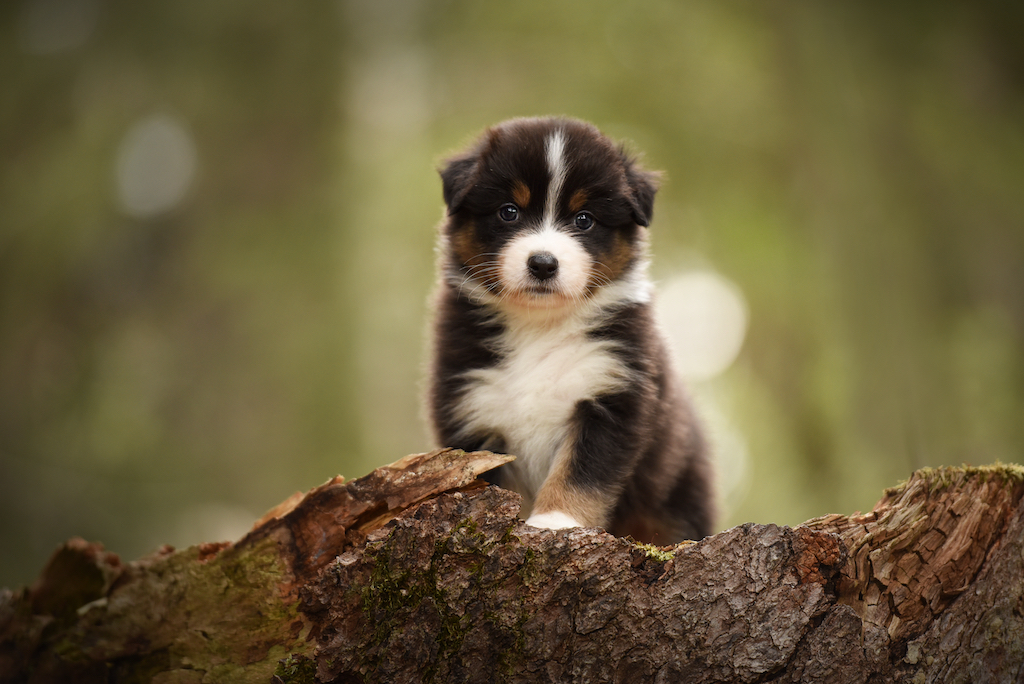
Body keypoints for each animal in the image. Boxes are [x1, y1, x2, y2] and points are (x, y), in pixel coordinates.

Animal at [428, 118, 716, 544]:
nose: (543, 264)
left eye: (584, 219)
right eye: (509, 212)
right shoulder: (470, 404)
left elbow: (581, 473)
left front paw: (555, 521)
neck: (539, 326)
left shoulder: (611, 393)